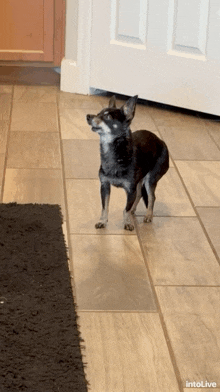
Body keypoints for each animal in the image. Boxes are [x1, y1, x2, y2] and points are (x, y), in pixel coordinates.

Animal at [86, 95, 168, 230]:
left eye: (108, 117)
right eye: (98, 113)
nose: (88, 116)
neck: (115, 152)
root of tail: (161, 141)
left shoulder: (130, 189)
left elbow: (125, 209)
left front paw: (127, 223)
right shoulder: (105, 185)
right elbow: (105, 207)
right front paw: (103, 221)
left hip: (150, 179)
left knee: (151, 197)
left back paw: (148, 215)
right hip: (139, 181)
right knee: (139, 194)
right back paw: (134, 211)